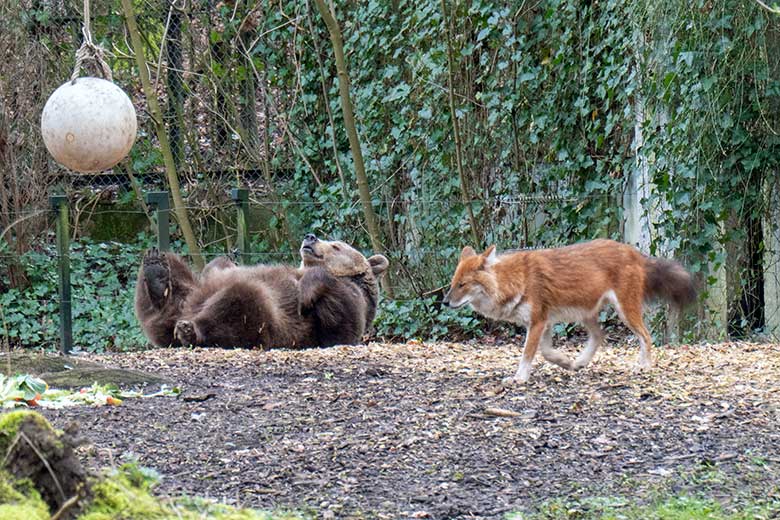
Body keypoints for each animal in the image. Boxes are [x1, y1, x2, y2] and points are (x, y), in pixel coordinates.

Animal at [136, 233, 390, 348]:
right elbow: (217, 266)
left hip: (265, 321)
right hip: (189, 295)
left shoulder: (349, 301)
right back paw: (156, 272)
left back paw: (190, 329)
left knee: (240, 302)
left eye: (336, 245)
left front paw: (306, 292)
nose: (310, 237)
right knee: (176, 280)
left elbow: (340, 322)